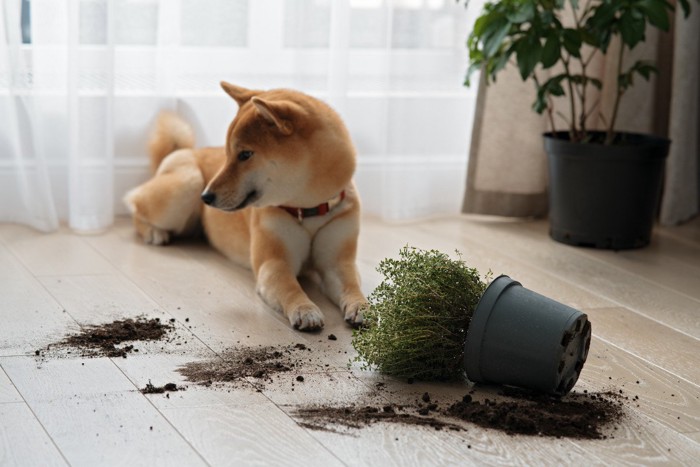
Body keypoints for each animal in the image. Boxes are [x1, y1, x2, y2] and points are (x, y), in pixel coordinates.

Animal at [123, 84, 370, 332]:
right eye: (227, 154)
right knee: (135, 204)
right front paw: (305, 309)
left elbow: (351, 285)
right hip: (187, 185)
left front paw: (362, 307)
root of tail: (187, 150)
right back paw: (154, 232)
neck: (307, 210)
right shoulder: (274, 263)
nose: (206, 197)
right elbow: (291, 288)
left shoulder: (338, 262)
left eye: (245, 154)